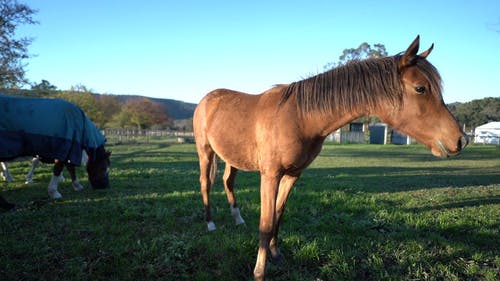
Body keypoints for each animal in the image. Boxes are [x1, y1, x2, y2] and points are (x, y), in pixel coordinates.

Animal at [193, 36, 466, 278]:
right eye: (420, 88)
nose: (460, 140)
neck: (299, 117)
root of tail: (207, 100)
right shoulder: (270, 175)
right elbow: (266, 224)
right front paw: (259, 271)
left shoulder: (292, 175)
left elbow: (278, 215)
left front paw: (276, 254)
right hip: (205, 151)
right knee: (206, 183)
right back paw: (210, 223)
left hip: (231, 158)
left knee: (228, 182)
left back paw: (238, 219)